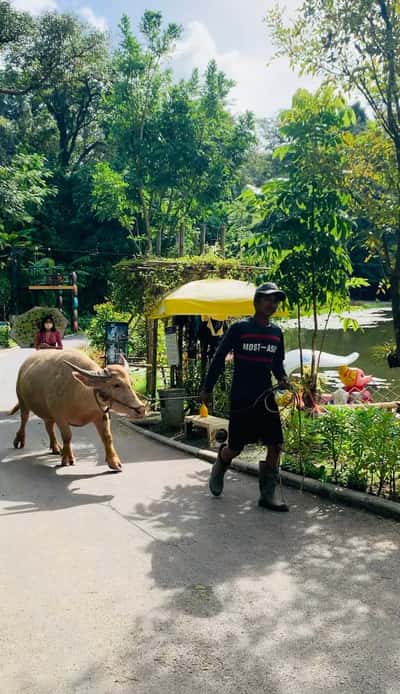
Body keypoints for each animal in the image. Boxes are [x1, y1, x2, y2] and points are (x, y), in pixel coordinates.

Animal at [9, 350, 146, 470]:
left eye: (131, 383)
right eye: (116, 385)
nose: (141, 409)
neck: (80, 393)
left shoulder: (101, 415)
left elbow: (107, 437)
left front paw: (114, 462)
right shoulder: (60, 418)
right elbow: (67, 436)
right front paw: (67, 459)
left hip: (48, 413)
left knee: (49, 427)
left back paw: (55, 447)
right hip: (22, 401)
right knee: (24, 419)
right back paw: (19, 440)